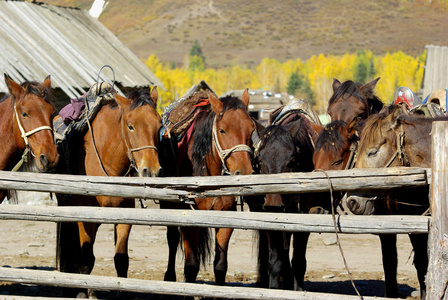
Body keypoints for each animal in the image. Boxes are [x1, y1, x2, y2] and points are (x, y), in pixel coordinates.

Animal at [55, 86, 161, 298]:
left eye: (159, 124)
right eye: (130, 126)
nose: (151, 170)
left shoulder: (124, 214)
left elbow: (121, 258)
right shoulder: (84, 216)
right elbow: (85, 258)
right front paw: (85, 293)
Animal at [160, 88, 256, 286]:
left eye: (251, 130)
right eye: (222, 130)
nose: (244, 172)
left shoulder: (226, 218)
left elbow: (220, 266)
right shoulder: (189, 221)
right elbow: (191, 266)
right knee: (172, 239)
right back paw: (169, 277)